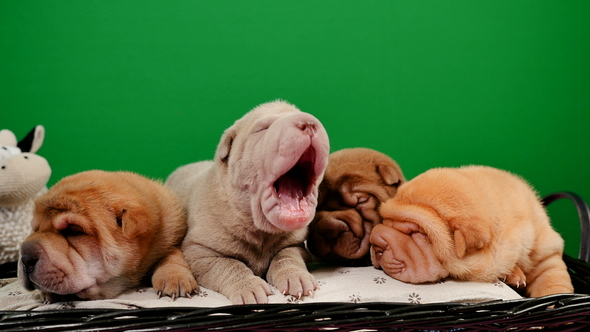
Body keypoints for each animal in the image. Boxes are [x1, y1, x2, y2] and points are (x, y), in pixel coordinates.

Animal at [17, 170, 199, 302]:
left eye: (73, 230)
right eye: (35, 229)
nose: (25, 257)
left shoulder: (170, 240)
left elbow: (171, 255)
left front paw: (175, 278)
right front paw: (46, 294)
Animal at [166, 100, 330, 304]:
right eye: (263, 128)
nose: (308, 123)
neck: (259, 230)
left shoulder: (297, 245)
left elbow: (286, 255)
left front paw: (296, 277)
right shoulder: (198, 251)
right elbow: (228, 264)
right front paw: (249, 287)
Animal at [372, 166, 576, 298]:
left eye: (417, 233)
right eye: (385, 221)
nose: (376, 243)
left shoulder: (545, 252)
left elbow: (552, 281)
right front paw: (513, 274)